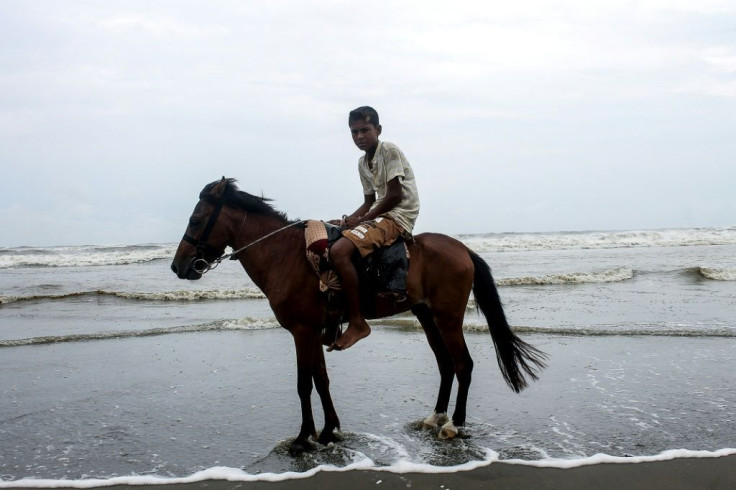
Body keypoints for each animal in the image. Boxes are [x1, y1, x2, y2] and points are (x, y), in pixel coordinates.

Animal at [170, 178, 544, 454]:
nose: (177, 266)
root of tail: (463, 248)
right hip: (426, 316)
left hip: (448, 317)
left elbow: (304, 384)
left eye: (195, 220)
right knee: (446, 364)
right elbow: (321, 380)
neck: (285, 256)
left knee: (463, 364)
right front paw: (327, 431)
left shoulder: (302, 331)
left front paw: (303, 438)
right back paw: (435, 417)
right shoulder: (314, 332)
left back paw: (454, 423)